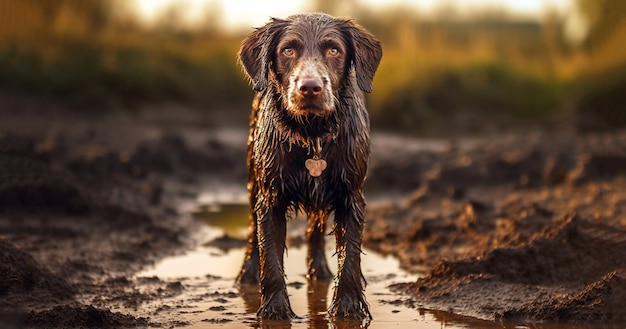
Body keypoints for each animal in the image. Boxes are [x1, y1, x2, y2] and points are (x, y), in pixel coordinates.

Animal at [234, 13, 380, 320]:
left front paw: (348, 307)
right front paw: (275, 309)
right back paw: (247, 274)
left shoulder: (351, 196)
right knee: (253, 233)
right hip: (253, 181)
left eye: (334, 50)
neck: (313, 134)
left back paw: (321, 271)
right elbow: (270, 256)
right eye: (288, 50)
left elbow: (350, 256)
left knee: (315, 231)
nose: (310, 88)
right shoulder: (270, 197)